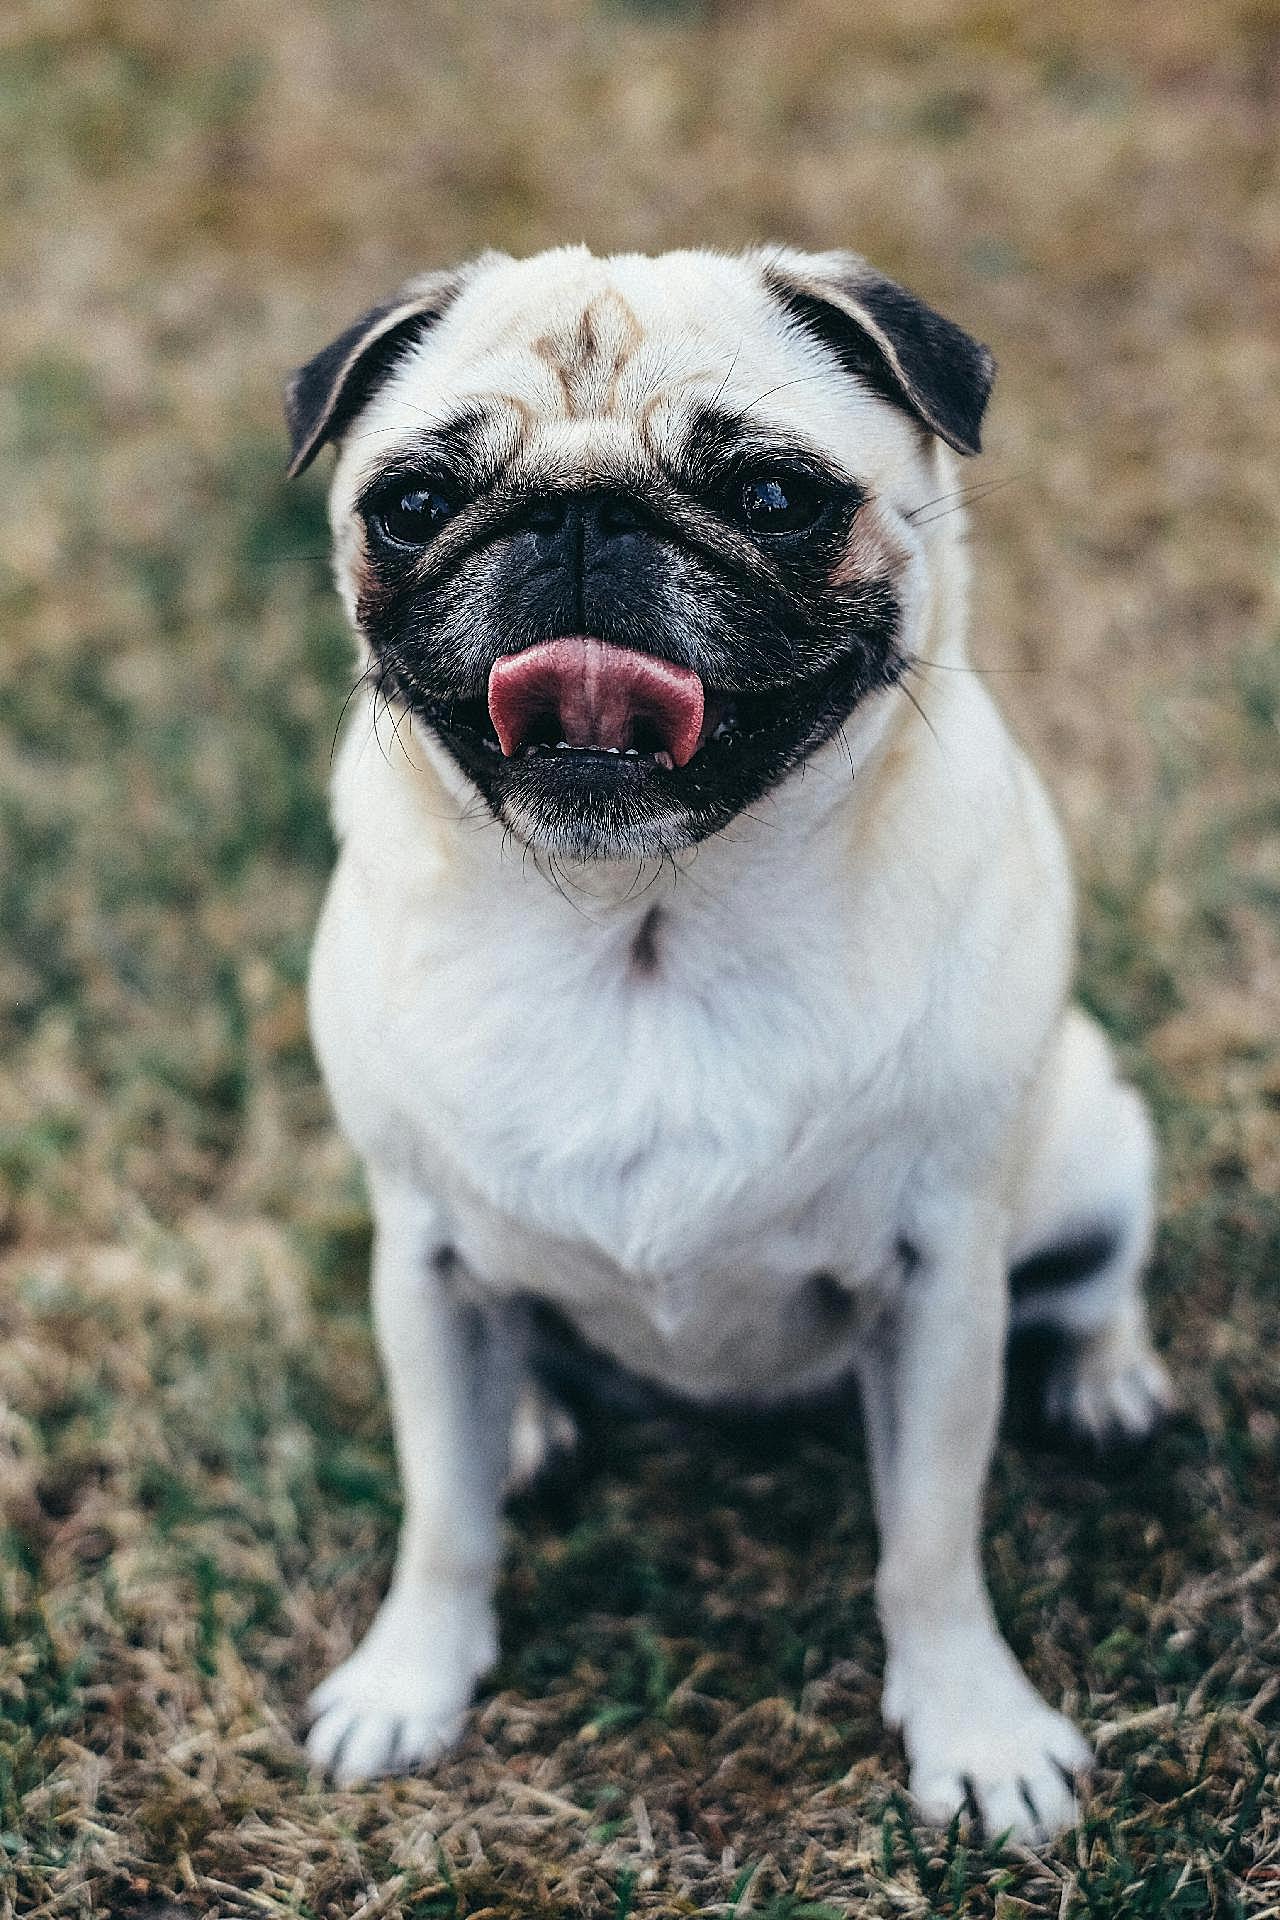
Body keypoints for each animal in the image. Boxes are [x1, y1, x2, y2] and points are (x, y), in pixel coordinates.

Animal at [287, 247, 1174, 1835]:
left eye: (772, 496)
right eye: (415, 504)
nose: (579, 514)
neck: (646, 924)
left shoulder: (943, 1281)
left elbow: (930, 1540)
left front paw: (975, 1732)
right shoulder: (425, 1262)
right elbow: (442, 1516)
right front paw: (410, 1681)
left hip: (1090, 1142)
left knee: (1096, 1279)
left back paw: (1107, 1381)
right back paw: (529, 1424)